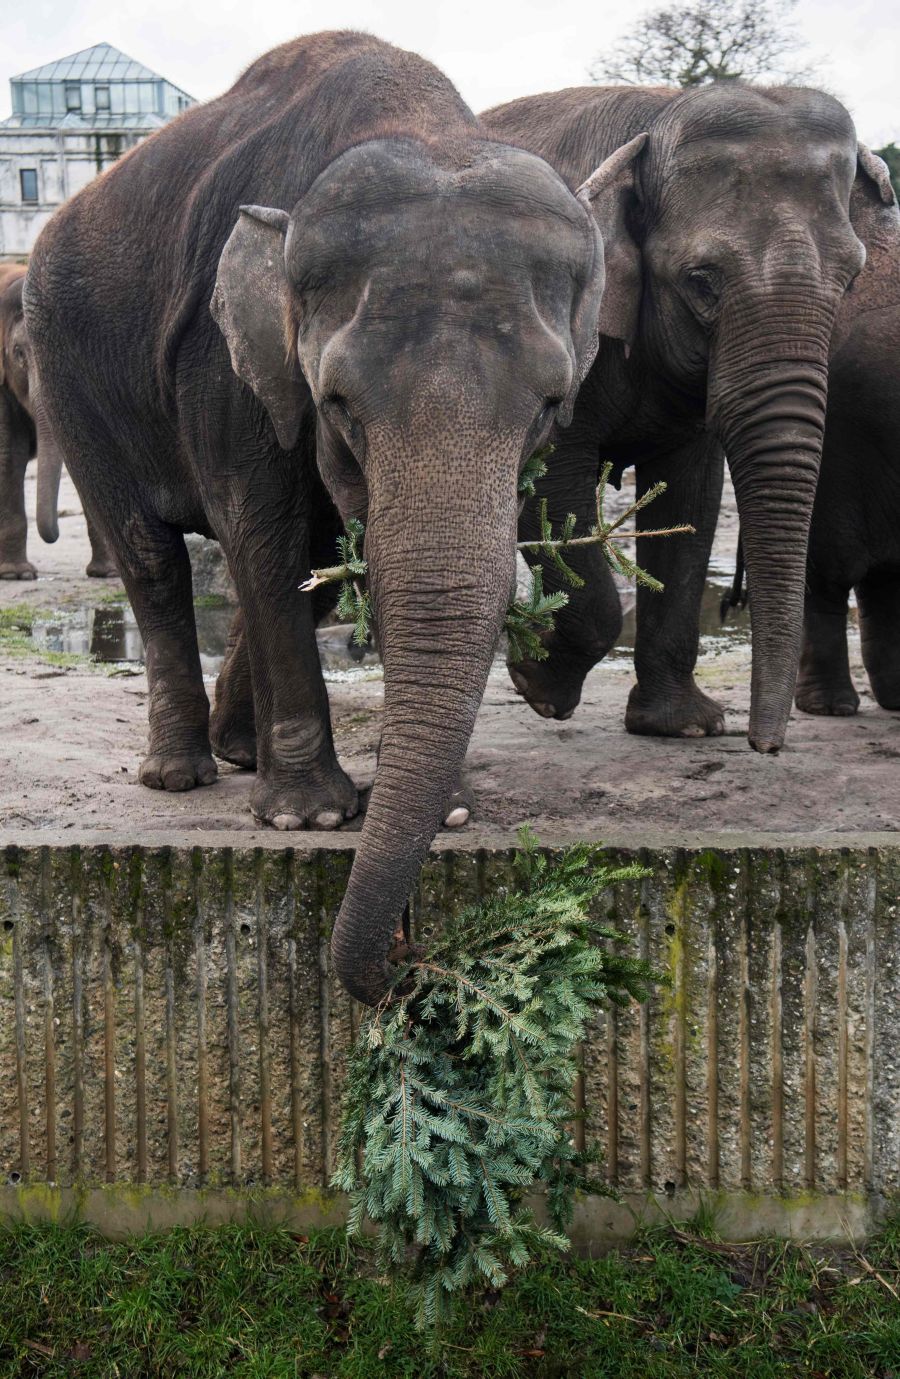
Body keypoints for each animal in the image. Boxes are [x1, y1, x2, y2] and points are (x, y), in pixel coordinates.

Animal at [26, 29, 631, 1003]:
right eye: (339, 403)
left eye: (549, 405)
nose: (404, 960)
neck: (418, 123)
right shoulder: (221, 356)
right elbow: (260, 535)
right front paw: (306, 819)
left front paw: (444, 810)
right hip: (67, 374)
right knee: (151, 558)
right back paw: (182, 776)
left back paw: (240, 753)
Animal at [479, 80, 887, 750]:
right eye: (702, 281)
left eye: (852, 279)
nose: (764, 746)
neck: (657, 115)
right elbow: (554, 478)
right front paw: (538, 683)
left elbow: (690, 499)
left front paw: (684, 729)